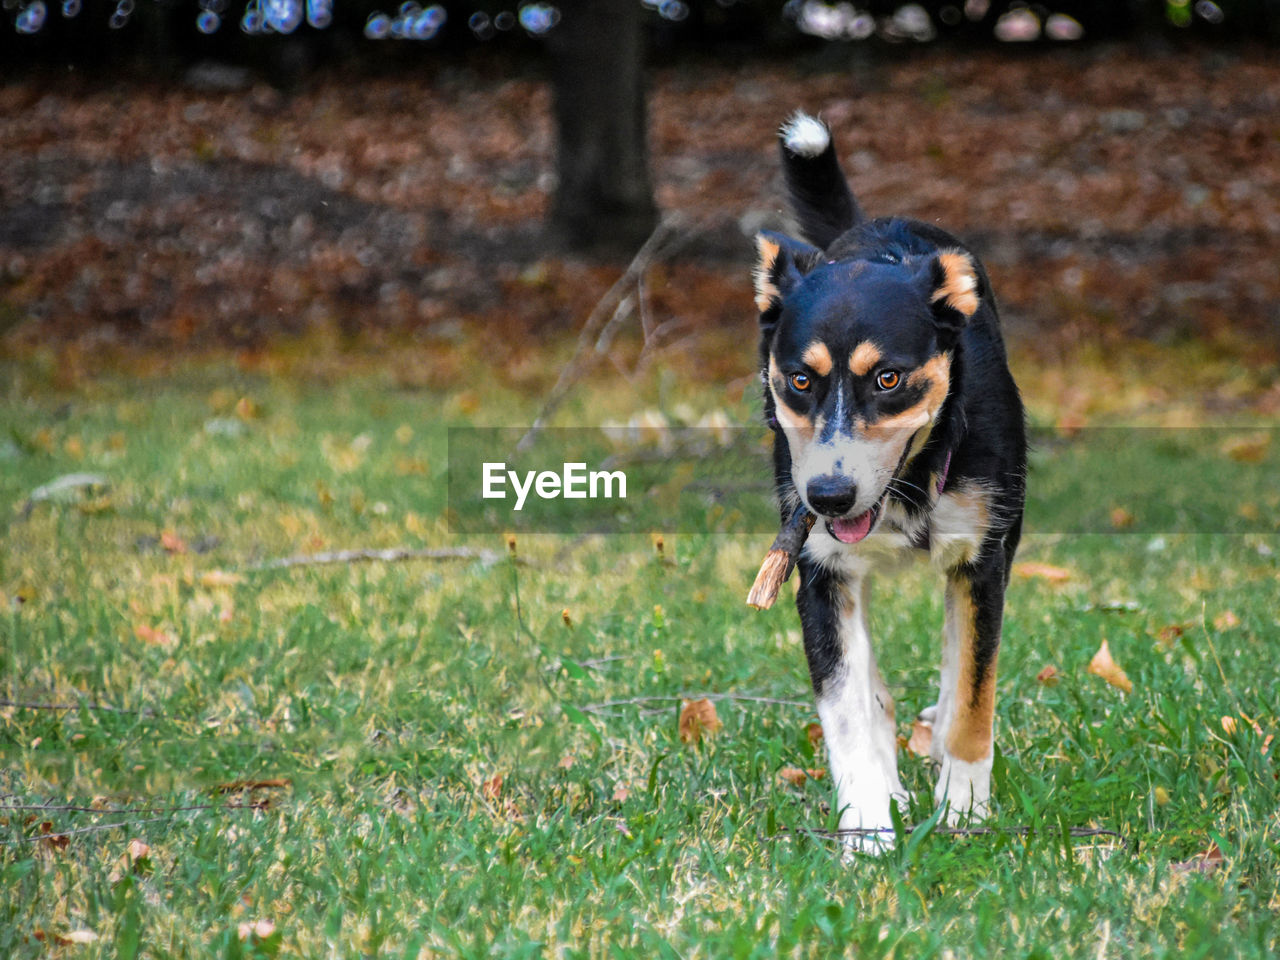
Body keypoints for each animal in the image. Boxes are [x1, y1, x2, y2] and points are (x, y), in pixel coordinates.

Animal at [752, 108, 1024, 855]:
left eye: (888, 378)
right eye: (800, 380)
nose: (827, 496)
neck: (915, 479)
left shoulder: (984, 561)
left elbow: (972, 696)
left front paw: (964, 811)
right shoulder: (820, 572)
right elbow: (847, 710)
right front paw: (869, 830)